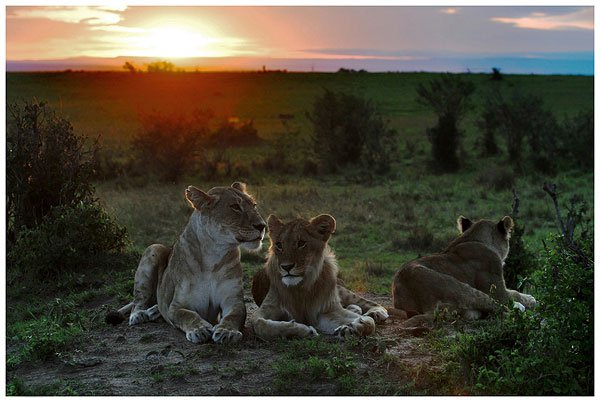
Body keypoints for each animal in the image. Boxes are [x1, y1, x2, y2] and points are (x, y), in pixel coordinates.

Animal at [107, 184, 264, 344]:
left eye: (254, 205)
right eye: (235, 207)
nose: (262, 226)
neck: (214, 254)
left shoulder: (233, 301)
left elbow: (234, 316)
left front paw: (227, 331)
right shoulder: (177, 306)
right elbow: (188, 316)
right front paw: (199, 330)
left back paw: (154, 311)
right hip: (154, 249)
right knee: (138, 299)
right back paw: (139, 315)